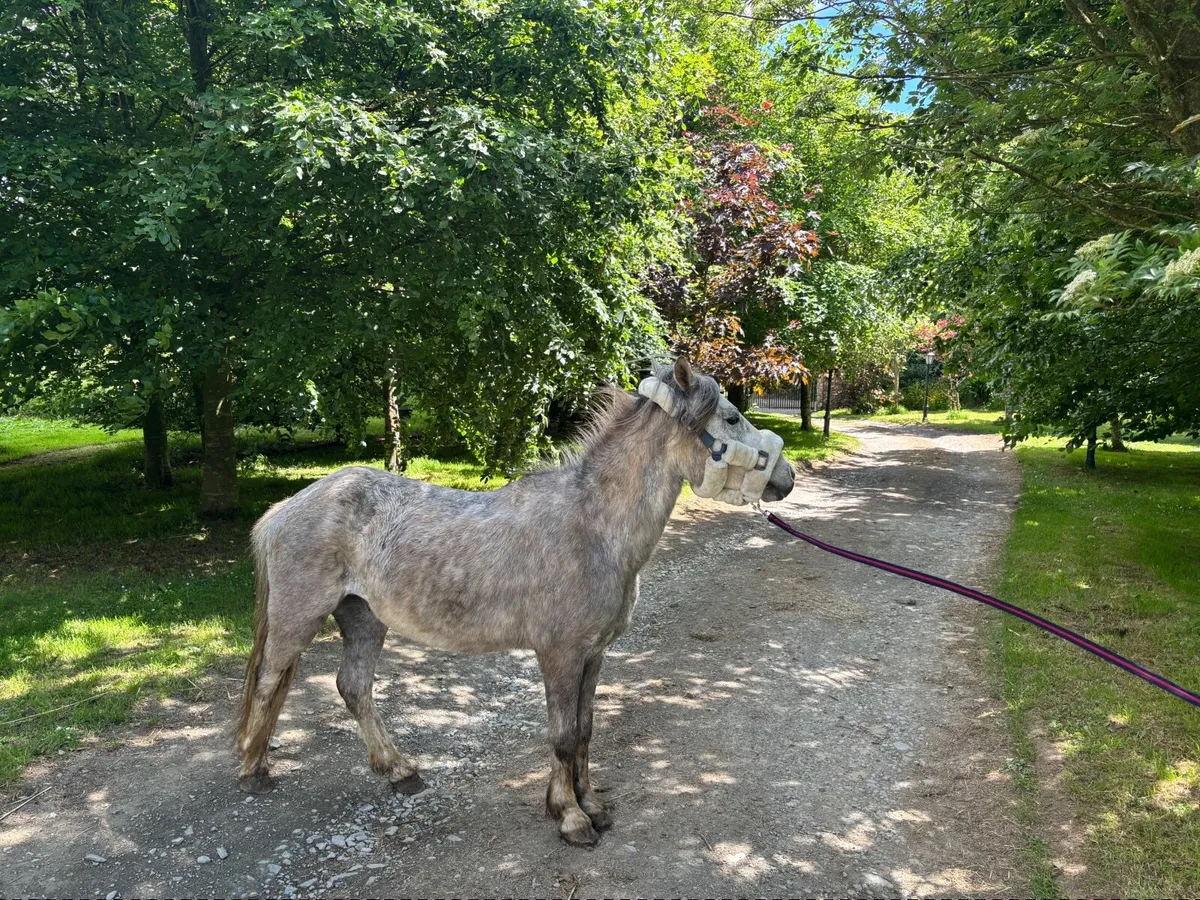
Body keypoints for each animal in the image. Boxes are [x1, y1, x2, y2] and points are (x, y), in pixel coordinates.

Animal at [235, 357, 796, 846]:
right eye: (731, 418)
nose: (786, 478)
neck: (594, 527)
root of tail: (285, 508)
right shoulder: (560, 655)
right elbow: (563, 736)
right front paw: (570, 818)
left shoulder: (594, 655)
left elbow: (585, 730)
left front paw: (591, 805)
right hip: (297, 617)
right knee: (268, 682)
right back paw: (253, 771)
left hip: (364, 618)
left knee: (354, 689)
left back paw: (400, 771)